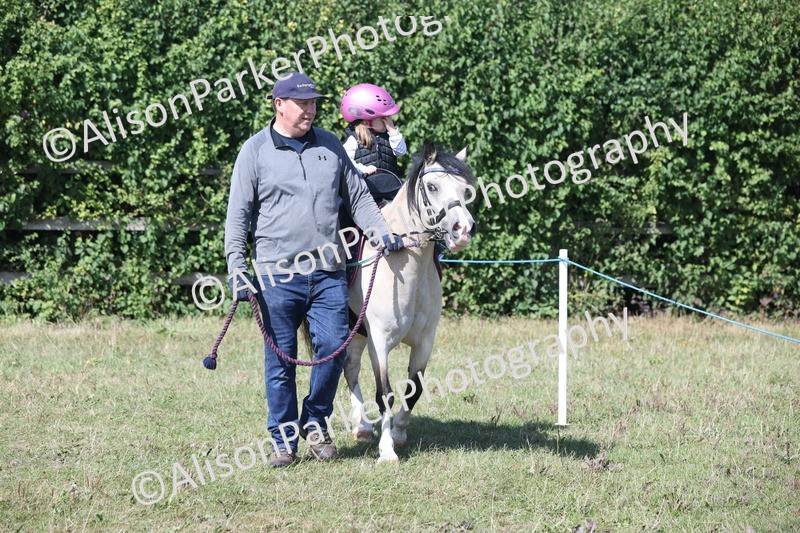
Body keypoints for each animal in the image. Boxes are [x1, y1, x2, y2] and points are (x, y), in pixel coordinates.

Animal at [344, 144, 476, 464]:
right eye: (432, 186)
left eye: (465, 189)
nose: (463, 230)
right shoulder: (379, 343)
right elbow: (385, 393)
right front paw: (387, 450)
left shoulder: (425, 341)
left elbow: (413, 389)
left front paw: (400, 433)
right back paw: (363, 427)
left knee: (350, 367)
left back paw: (363, 427)